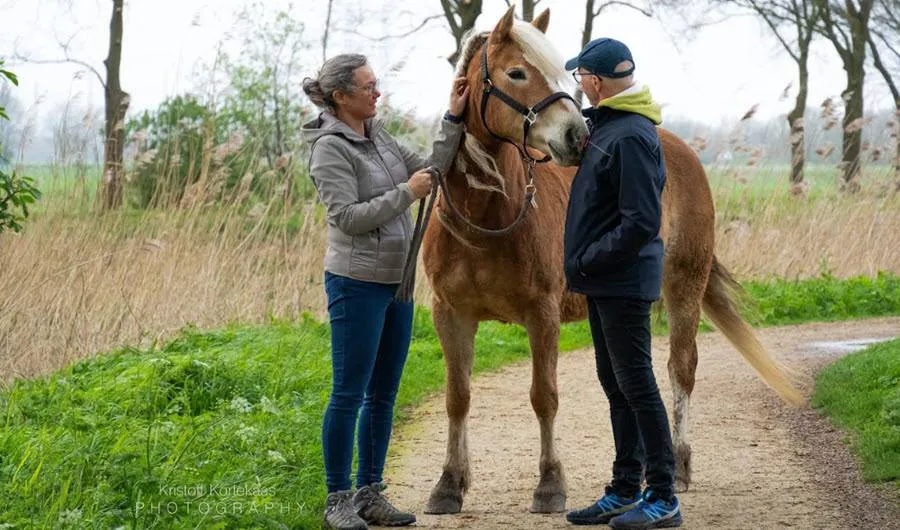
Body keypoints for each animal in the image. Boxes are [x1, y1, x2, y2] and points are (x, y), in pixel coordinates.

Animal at [420, 5, 803, 515]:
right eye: (516, 72)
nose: (576, 135)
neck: (487, 217)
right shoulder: (451, 314)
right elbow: (457, 397)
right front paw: (449, 484)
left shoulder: (542, 314)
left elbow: (544, 396)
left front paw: (550, 484)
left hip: (684, 287)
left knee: (680, 368)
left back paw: (678, 465)